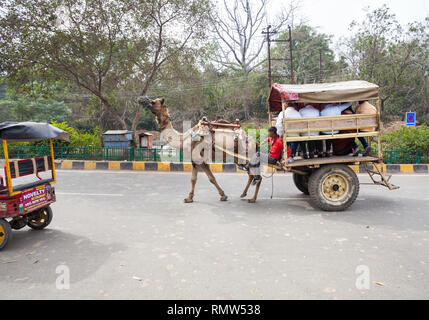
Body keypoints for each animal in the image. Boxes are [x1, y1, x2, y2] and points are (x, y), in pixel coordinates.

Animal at [139, 96, 268, 204]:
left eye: (153, 101)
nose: (141, 99)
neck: (184, 138)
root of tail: (254, 142)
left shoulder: (196, 158)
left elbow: (194, 179)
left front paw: (188, 198)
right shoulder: (200, 160)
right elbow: (211, 178)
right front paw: (223, 196)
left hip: (247, 154)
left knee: (258, 176)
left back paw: (252, 199)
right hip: (240, 158)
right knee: (252, 175)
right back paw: (243, 194)